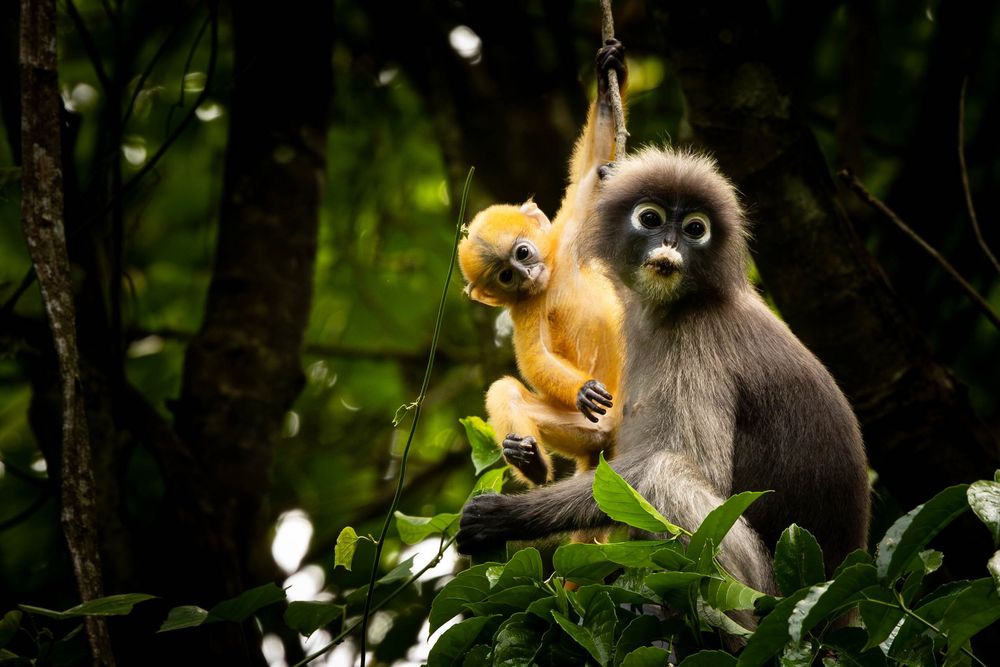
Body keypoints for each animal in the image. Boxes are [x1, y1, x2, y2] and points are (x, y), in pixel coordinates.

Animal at [457, 146, 871, 597]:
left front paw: (504, 517)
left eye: (695, 229)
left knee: (666, 473)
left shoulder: (701, 342)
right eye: (651, 219)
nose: (671, 243)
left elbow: (695, 468)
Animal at [458, 40, 627, 486]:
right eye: (505, 276)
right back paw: (529, 461)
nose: (526, 274)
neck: (551, 281)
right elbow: (534, 359)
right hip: (589, 429)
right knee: (504, 390)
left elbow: (591, 168)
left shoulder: (570, 237)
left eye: (522, 253)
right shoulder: (523, 312)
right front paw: (583, 389)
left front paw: (607, 77)